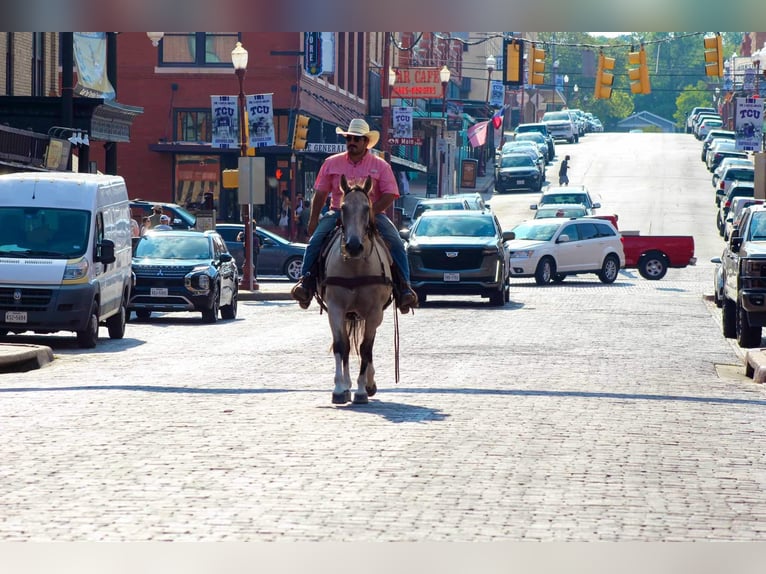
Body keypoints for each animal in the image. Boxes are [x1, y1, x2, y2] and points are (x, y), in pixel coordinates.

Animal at [318, 176, 396, 404]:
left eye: (366, 208)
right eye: (343, 207)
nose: (353, 246)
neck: (356, 266)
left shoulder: (374, 312)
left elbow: (365, 348)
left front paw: (362, 389)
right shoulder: (336, 308)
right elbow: (340, 345)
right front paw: (339, 388)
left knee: (367, 346)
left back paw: (369, 384)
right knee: (346, 344)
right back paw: (347, 385)